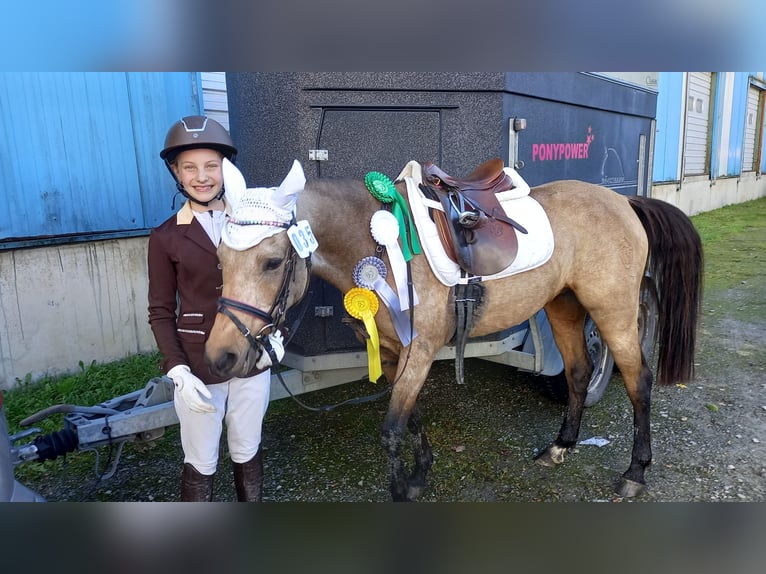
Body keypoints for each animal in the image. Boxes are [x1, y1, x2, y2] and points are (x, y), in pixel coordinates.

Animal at [206, 159, 708, 504]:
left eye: (272, 261)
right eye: (220, 259)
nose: (220, 357)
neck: (378, 245)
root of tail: (624, 201)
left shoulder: (420, 350)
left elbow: (391, 428)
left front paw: (402, 489)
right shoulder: (397, 352)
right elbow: (411, 417)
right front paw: (420, 473)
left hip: (612, 311)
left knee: (637, 380)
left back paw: (635, 472)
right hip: (563, 306)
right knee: (579, 373)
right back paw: (560, 447)